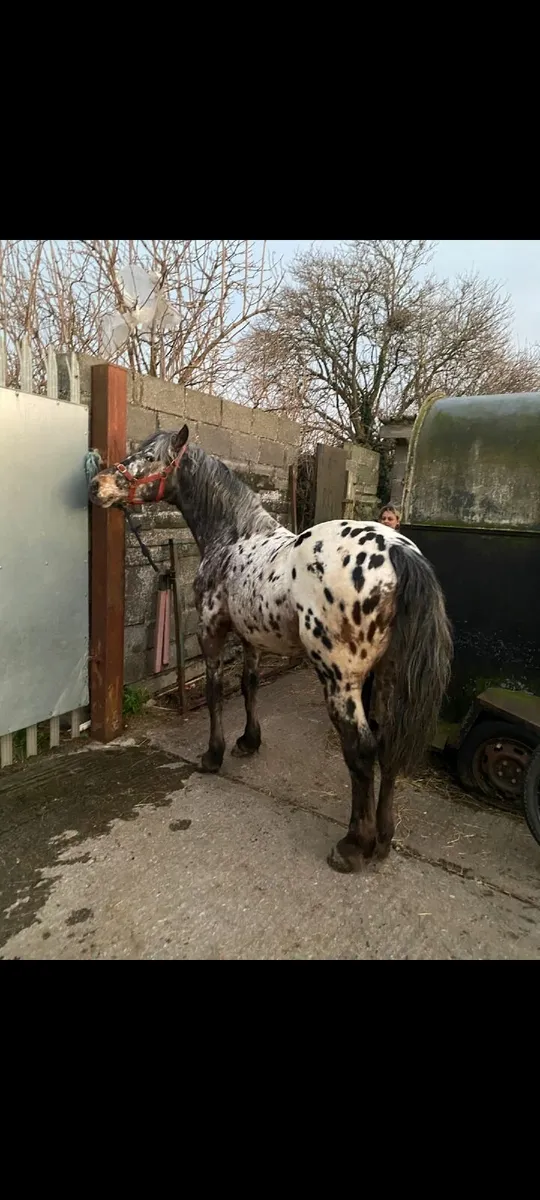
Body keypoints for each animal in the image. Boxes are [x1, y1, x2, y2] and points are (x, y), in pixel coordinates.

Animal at [88, 424, 453, 873]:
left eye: (151, 456)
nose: (99, 485)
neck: (234, 536)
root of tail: (399, 552)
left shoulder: (211, 633)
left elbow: (214, 693)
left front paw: (213, 755)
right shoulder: (251, 637)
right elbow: (249, 685)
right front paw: (249, 741)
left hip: (341, 680)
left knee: (361, 748)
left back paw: (353, 846)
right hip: (387, 675)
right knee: (386, 742)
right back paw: (383, 840)